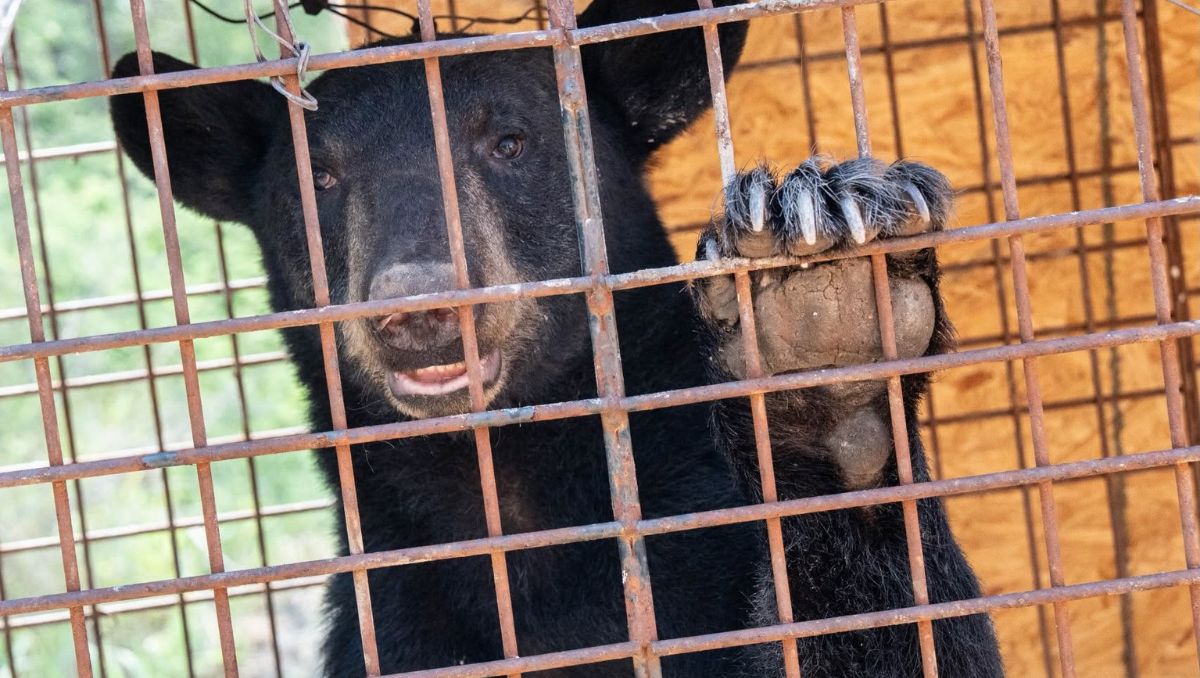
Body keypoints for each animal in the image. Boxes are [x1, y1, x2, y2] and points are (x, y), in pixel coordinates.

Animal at [109, 0, 1004, 675]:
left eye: (509, 141)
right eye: (319, 178)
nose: (418, 307)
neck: (518, 504)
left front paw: (823, 339)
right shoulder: (395, 628)